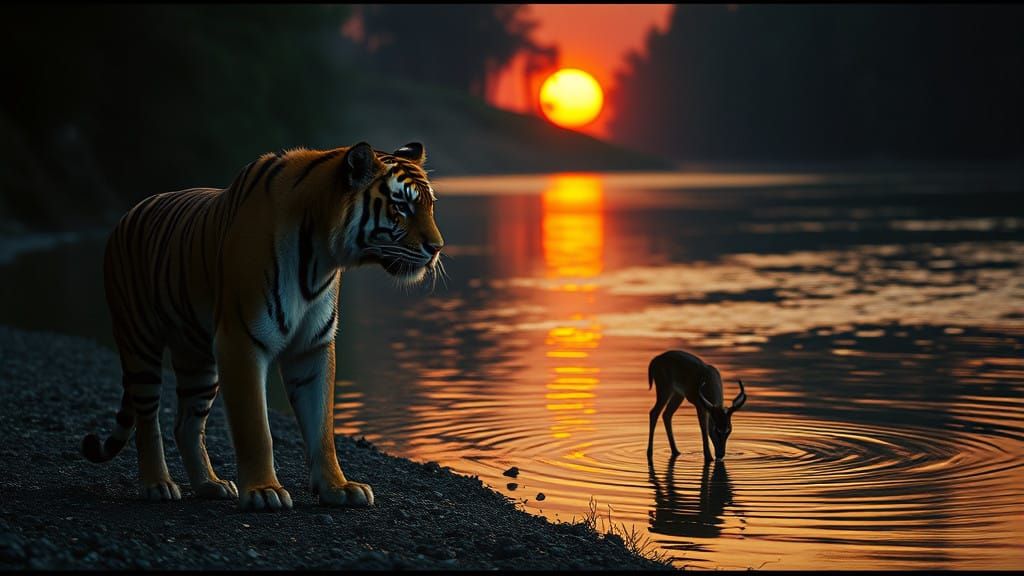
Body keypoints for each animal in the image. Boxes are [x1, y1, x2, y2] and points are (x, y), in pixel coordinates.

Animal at [81, 141, 444, 511]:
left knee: (185, 424)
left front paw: (338, 488)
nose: (437, 248)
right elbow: (256, 428)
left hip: (197, 359)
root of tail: (130, 210)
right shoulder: (240, 342)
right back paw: (157, 484)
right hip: (140, 342)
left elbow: (322, 428)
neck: (320, 258)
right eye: (401, 207)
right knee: (147, 419)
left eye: (430, 206)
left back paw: (210, 485)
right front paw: (263, 491)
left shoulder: (312, 347)